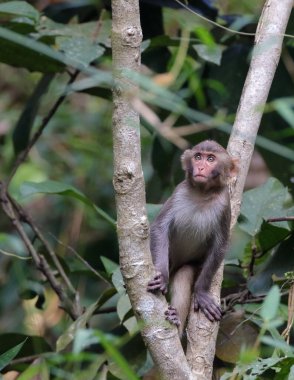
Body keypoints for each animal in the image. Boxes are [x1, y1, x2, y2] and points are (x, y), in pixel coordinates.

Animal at [147, 140, 239, 336]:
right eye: (198, 156)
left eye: (210, 159)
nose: (201, 167)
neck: (202, 193)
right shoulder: (178, 193)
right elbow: (159, 228)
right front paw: (162, 276)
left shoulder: (224, 206)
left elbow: (220, 246)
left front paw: (201, 292)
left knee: (185, 272)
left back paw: (177, 321)